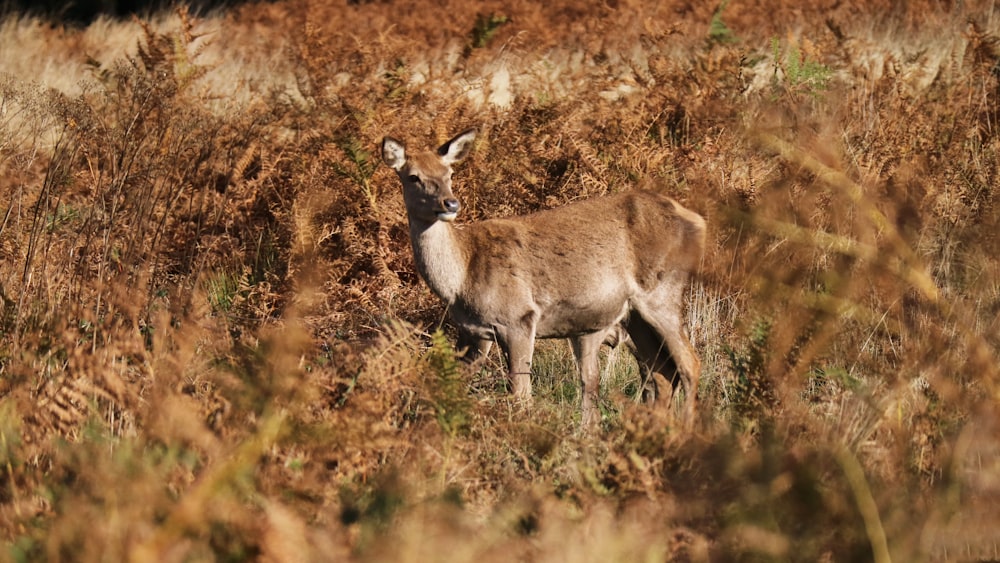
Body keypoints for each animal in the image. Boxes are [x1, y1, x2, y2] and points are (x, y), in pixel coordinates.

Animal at [378, 128, 708, 428]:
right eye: (413, 177)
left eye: (449, 173)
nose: (450, 203)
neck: (461, 280)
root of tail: (698, 221)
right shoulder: (473, 333)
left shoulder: (519, 317)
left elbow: (521, 394)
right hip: (634, 314)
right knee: (661, 371)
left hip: (661, 291)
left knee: (690, 363)